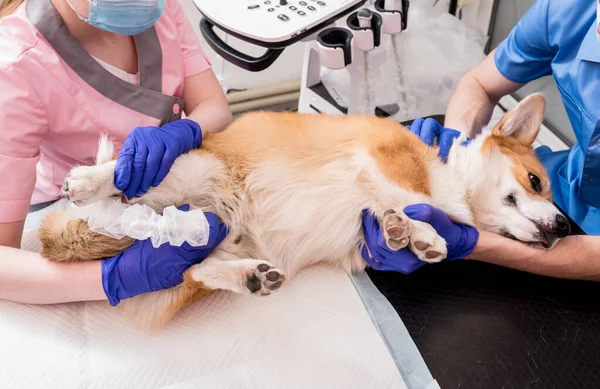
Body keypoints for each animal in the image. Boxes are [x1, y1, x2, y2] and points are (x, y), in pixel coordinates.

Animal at [39, 93, 568, 328]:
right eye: (536, 182)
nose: (565, 227)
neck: (454, 177)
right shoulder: (383, 160)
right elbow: (413, 198)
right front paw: (428, 233)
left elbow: (396, 216)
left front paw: (407, 236)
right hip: (190, 170)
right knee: (120, 181)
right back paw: (89, 181)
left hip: (206, 245)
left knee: (195, 268)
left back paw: (249, 276)